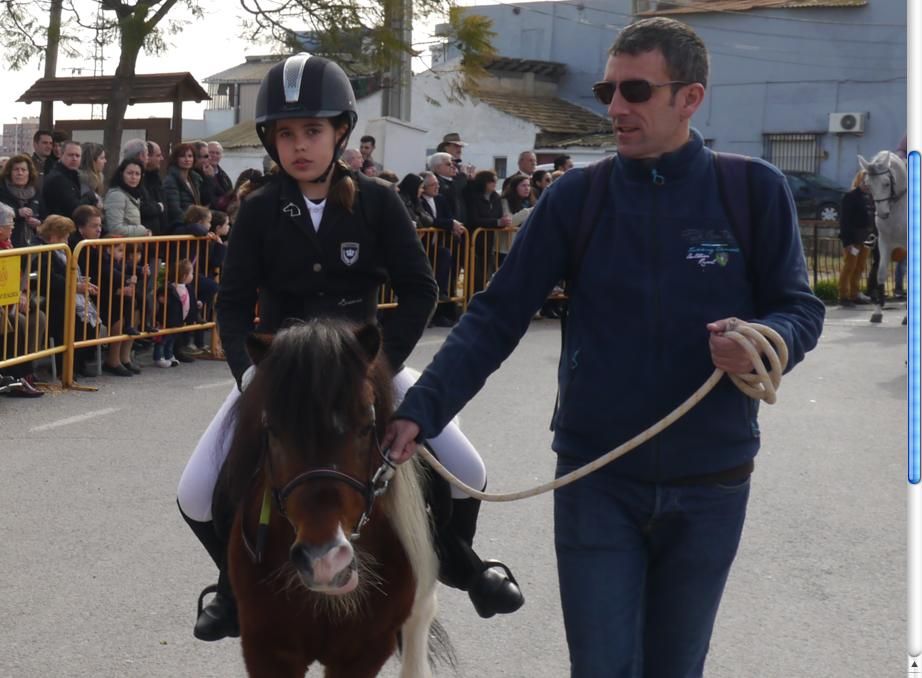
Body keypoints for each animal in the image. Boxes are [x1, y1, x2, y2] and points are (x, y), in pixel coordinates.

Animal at [856, 153, 904, 326]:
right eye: (869, 186)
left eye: (886, 183)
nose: (883, 214)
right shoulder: (884, 243)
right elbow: (881, 274)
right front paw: (877, 313)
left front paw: (906, 318)